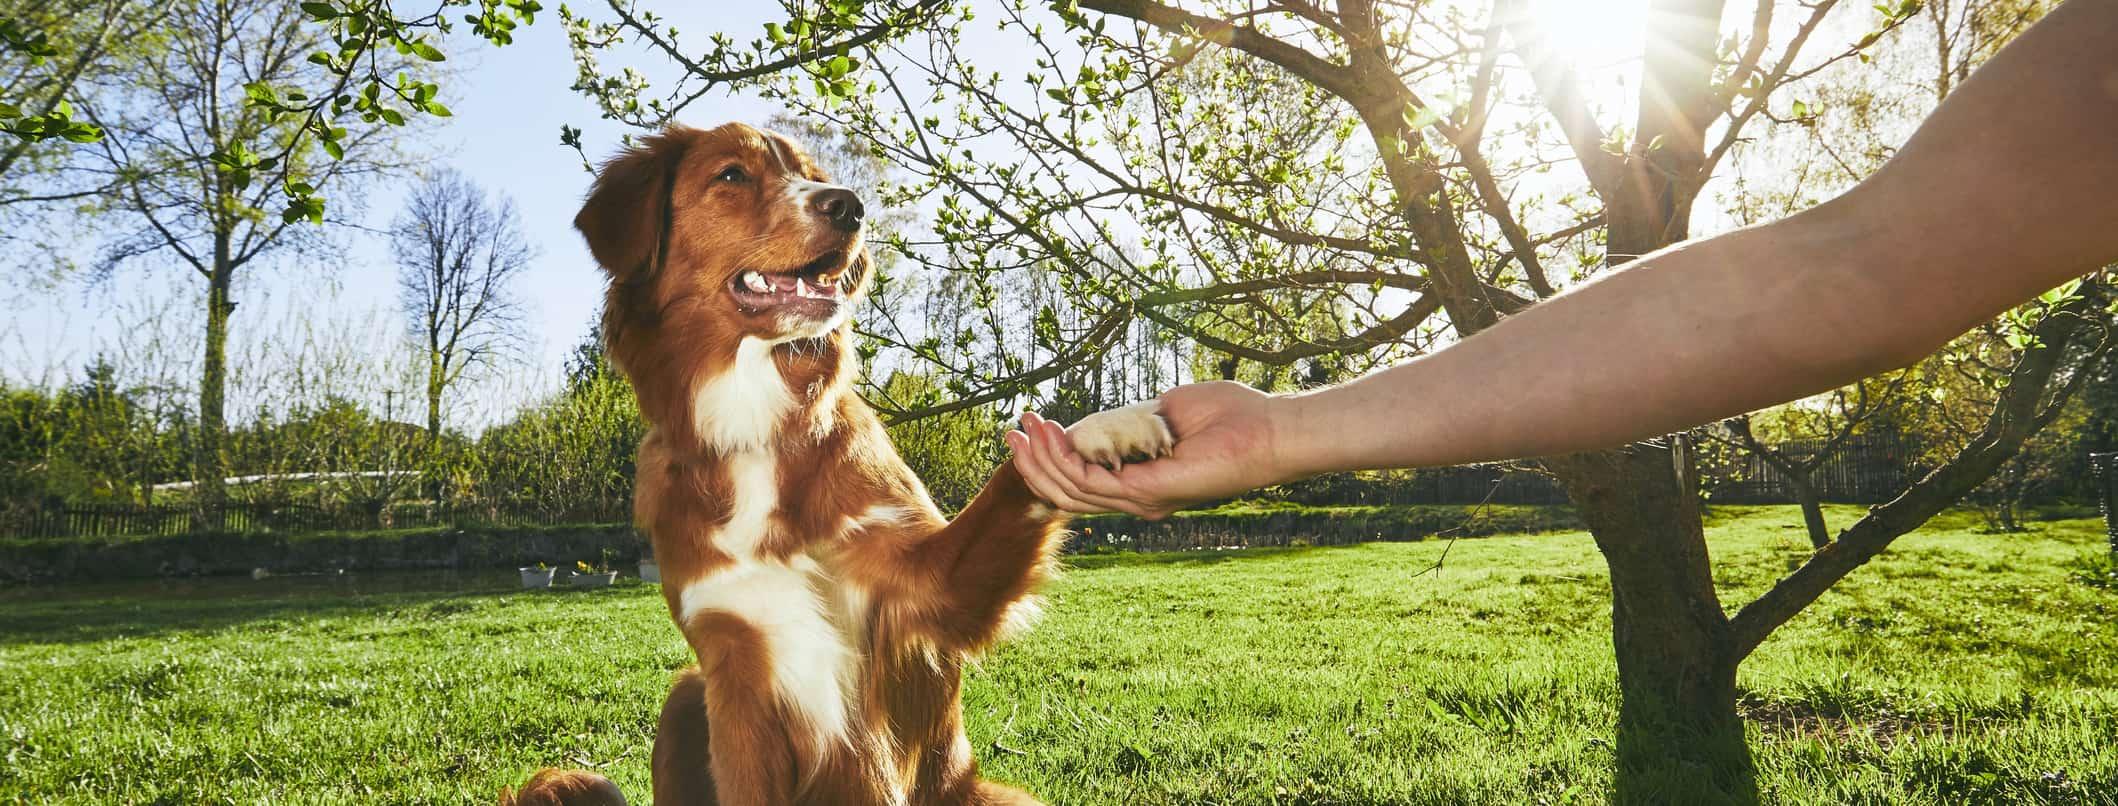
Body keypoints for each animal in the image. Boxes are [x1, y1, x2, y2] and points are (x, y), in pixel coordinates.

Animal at [510, 121, 1177, 803]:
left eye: (812, 173)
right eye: (731, 174)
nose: (850, 206)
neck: (758, 427)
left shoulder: (926, 584)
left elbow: (1014, 474)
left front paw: (1106, 427)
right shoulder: (733, 665)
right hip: (686, 694)